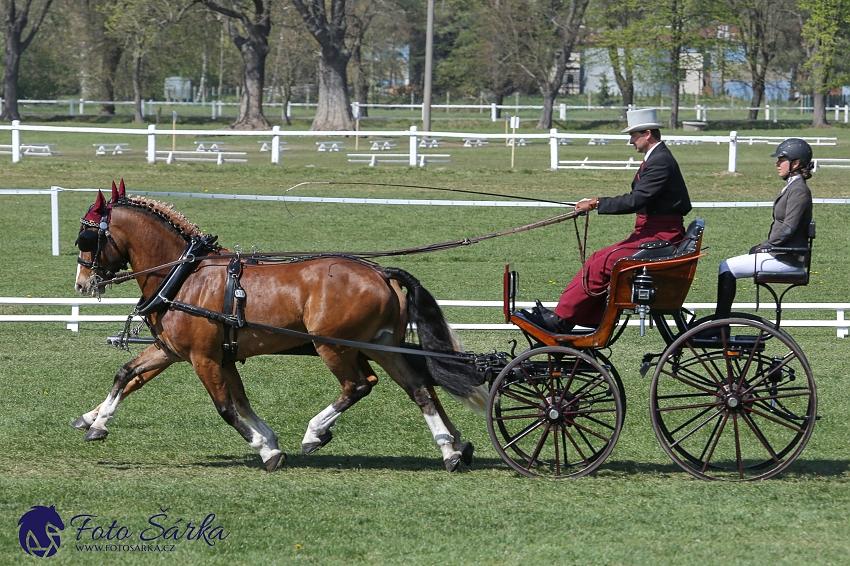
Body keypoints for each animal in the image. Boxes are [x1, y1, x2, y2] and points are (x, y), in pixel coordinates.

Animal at [74, 181, 484, 470]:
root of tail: (380, 272)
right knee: (419, 387)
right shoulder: (183, 351)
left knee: (359, 385)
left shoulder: (203, 359)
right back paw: (450, 449)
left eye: (87, 237)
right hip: (381, 347)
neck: (185, 275)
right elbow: (129, 374)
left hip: (333, 347)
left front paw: (265, 450)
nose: (81, 283)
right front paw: (97, 422)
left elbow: (227, 408)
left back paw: (315, 433)